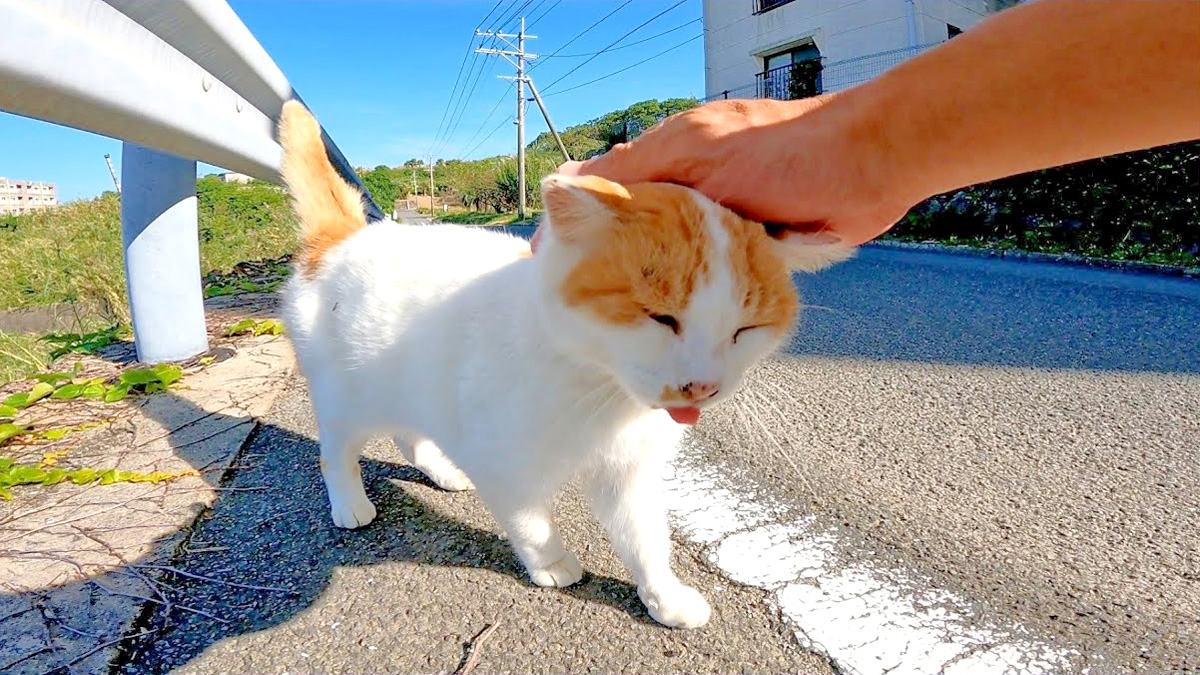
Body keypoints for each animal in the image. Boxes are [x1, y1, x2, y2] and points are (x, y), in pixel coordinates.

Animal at [278, 99, 854, 624]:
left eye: (744, 330)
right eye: (661, 317)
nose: (703, 386)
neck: (600, 390)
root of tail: (345, 238)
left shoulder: (631, 472)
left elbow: (645, 538)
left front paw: (663, 595)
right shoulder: (503, 461)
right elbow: (530, 521)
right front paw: (552, 564)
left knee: (408, 431)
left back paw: (441, 470)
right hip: (345, 395)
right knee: (336, 451)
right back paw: (349, 501)